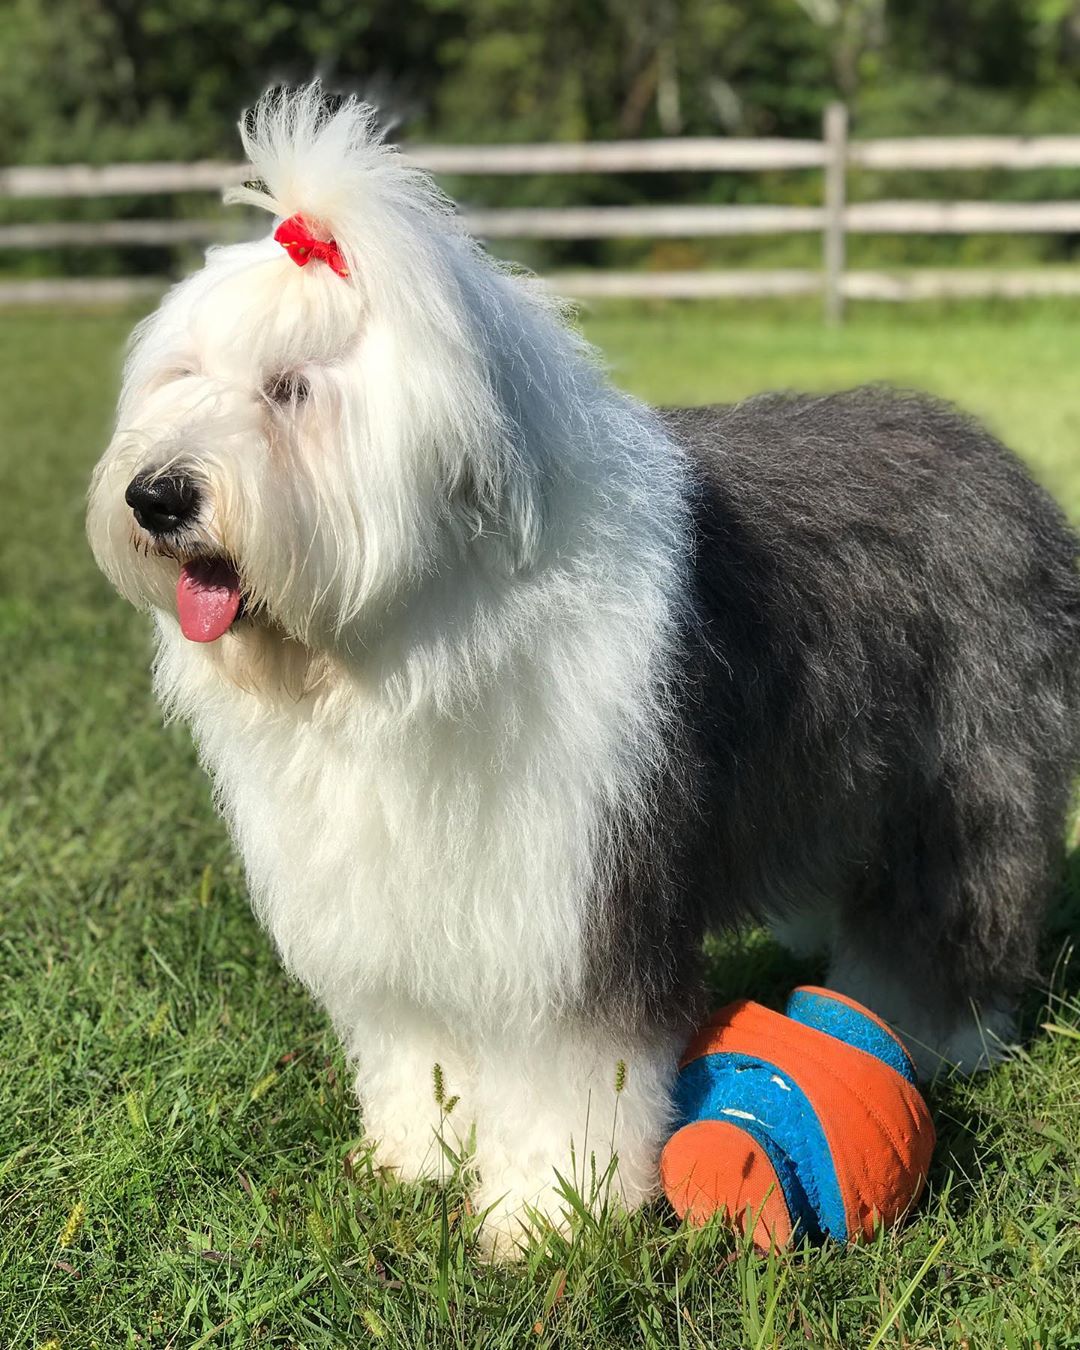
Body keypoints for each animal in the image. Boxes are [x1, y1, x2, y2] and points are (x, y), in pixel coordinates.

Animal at [88, 89, 1080, 1258]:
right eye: (181, 377)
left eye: (291, 390)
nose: (156, 495)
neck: (397, 643)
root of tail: (1006, 467)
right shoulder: (402, 895)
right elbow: (416, 1043)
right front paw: (417, 1154)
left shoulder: (575, 895)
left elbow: (569, 1071)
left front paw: (546, 1211)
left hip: (963, 786)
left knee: (946, 920)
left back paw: (933, 1040)